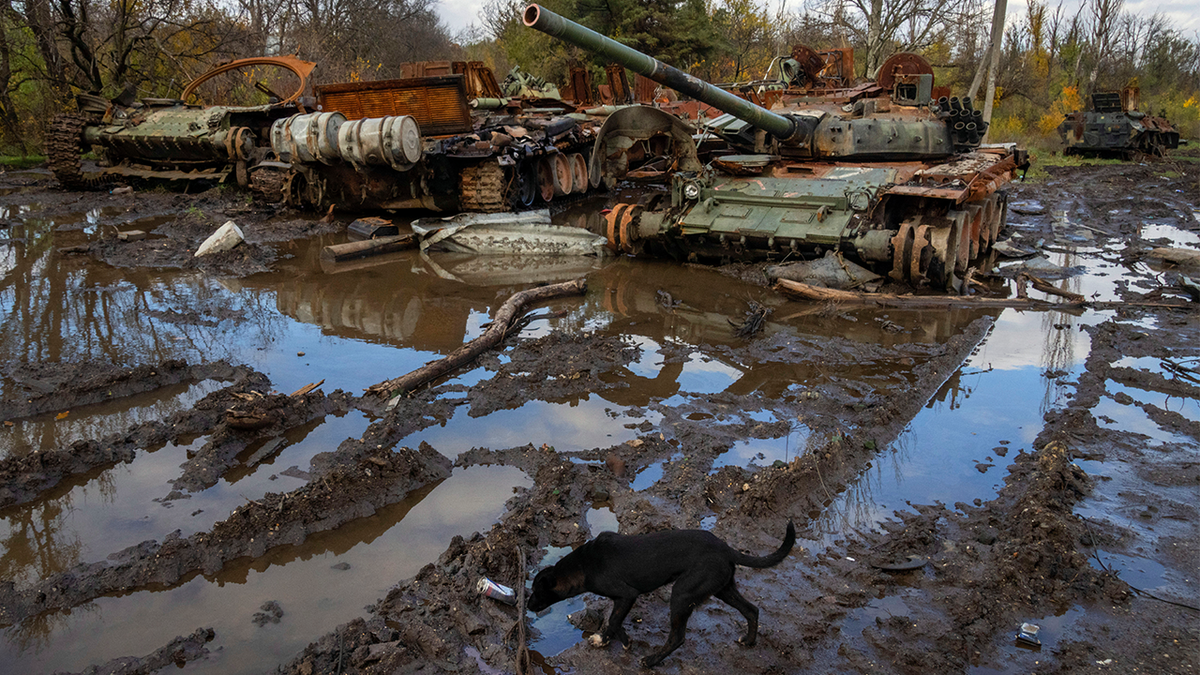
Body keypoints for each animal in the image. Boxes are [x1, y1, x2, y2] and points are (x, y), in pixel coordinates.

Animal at [528, 516, 792, 662]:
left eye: (536, 591)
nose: (528, 605)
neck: (583, 564)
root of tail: (726, 548)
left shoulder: (627, 595)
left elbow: (613, 621)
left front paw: (623, 642)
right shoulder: (621, 600)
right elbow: (611, 623)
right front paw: (604, 640)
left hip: (682, 594)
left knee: (677, 638)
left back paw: (651, 661)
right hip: (722, 588)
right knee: (752, 610)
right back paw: (748, 641)